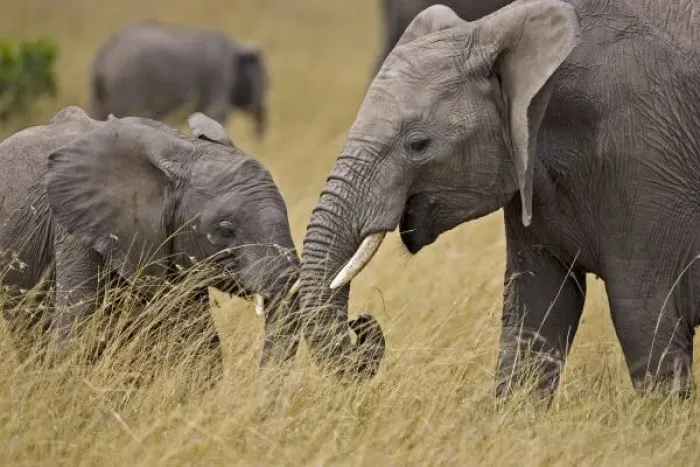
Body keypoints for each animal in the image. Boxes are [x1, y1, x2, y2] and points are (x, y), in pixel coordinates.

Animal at [89, 20, 269, 139]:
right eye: (268, 83)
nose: (257, 137)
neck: (237, 52)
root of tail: (101, 60)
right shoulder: (219, 78)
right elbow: (216, 116)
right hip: (127, 84)